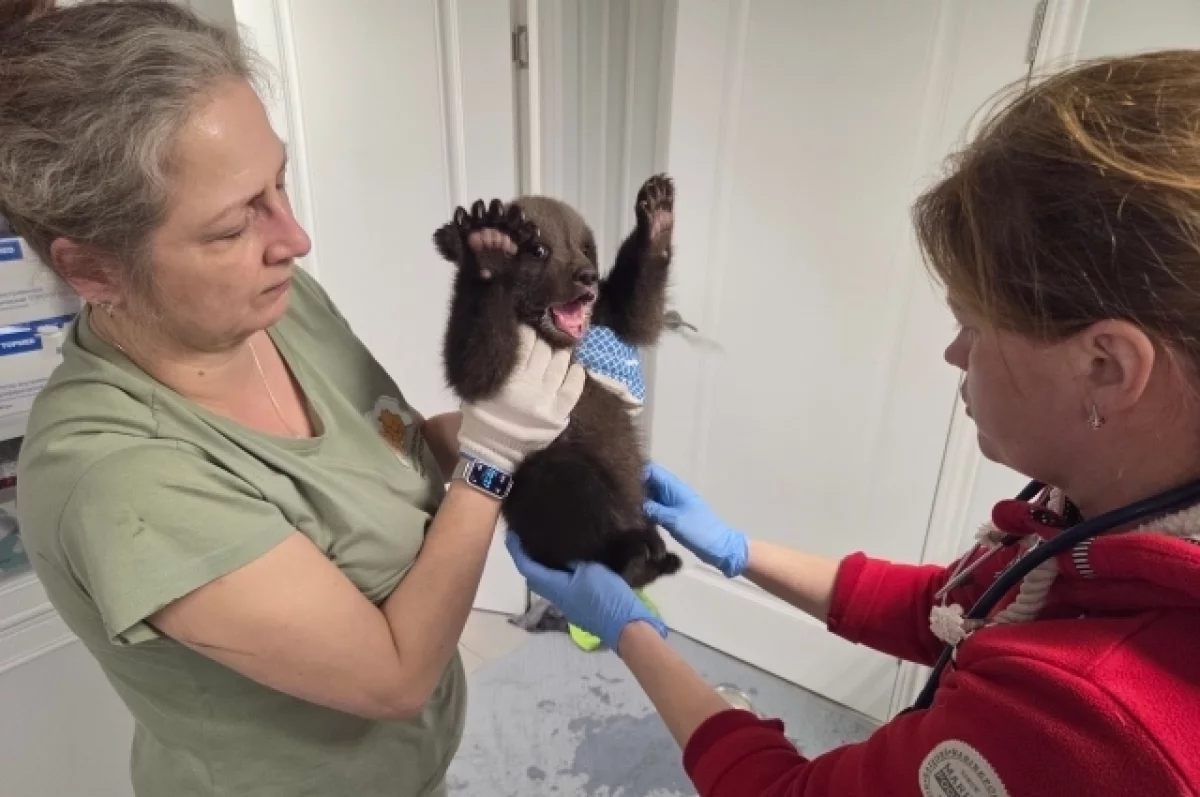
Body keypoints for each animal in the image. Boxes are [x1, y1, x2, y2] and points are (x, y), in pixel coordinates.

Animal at [433, 174, 682, 591]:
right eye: (539, 249)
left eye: (585, 247)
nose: (586, 276)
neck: (554, 338)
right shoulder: (492, 361)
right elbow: (476, 367)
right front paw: (489, 248)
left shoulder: (606, 313)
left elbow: (640, 314)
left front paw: (657, 215)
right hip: (543, 476)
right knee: (565, 487)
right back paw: (631, 555)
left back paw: (657, 552)